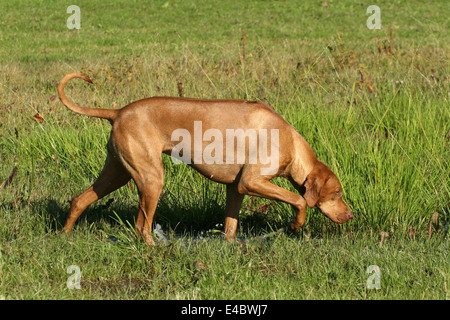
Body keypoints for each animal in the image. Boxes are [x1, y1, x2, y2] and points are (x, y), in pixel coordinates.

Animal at [58, 73, 354, 245]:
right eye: (337, 193)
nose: (350, 215)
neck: (289, 140)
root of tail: (118, 112)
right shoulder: (252, 181)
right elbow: (300, 200)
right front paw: (295, 223)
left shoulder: (236, 188)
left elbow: (231, 226)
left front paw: (230, 248)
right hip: (151, 179)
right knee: (142, 227)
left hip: (117, 172)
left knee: (79, 200)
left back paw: (65, 236)